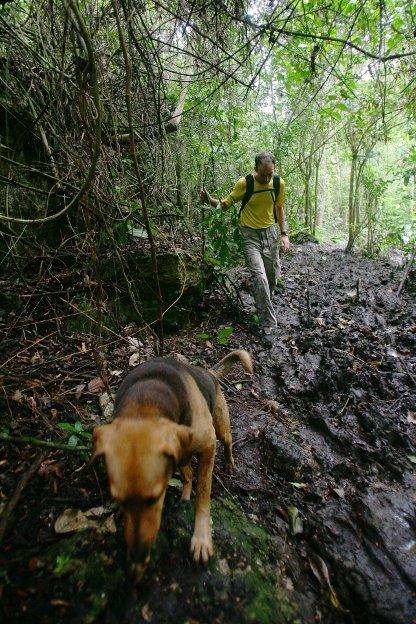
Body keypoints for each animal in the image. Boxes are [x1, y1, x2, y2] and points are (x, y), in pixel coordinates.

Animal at [91, 348, 252, 576]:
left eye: (154, 498)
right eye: (118, 499)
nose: (137, 561)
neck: (146, 401)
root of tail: (209, 373)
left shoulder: (208, 446)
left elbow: (203, 496)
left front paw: (201, 540)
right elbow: (191, 480)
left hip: (221, 427)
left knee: (228, 444)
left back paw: (229, 464)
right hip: (181, 456)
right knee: (188, 475)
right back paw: (184, 496)